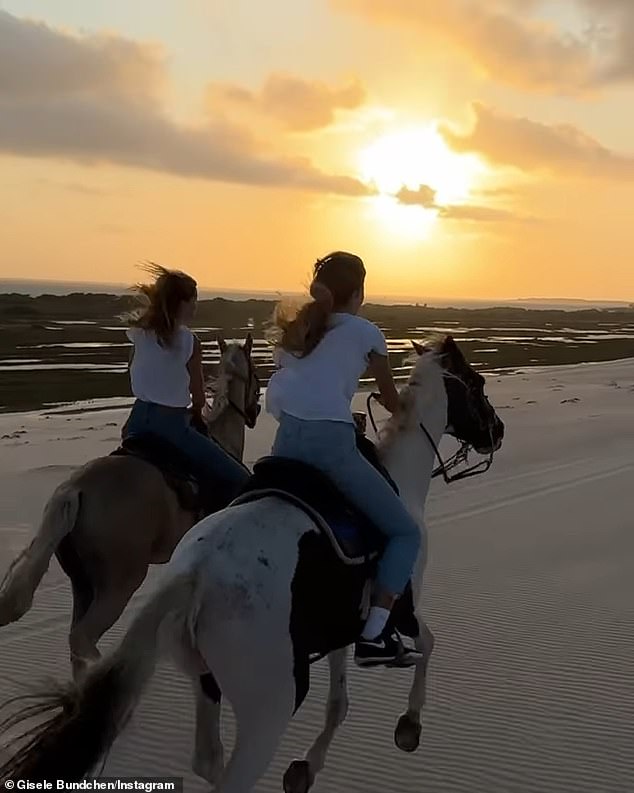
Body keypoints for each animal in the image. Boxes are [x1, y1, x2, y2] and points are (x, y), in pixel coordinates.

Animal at [0, 334, 260, 676]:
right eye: (257, 378)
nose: (256, 409)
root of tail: (74, 488)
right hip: (120, 582)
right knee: (82, 639)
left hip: (83, 583)